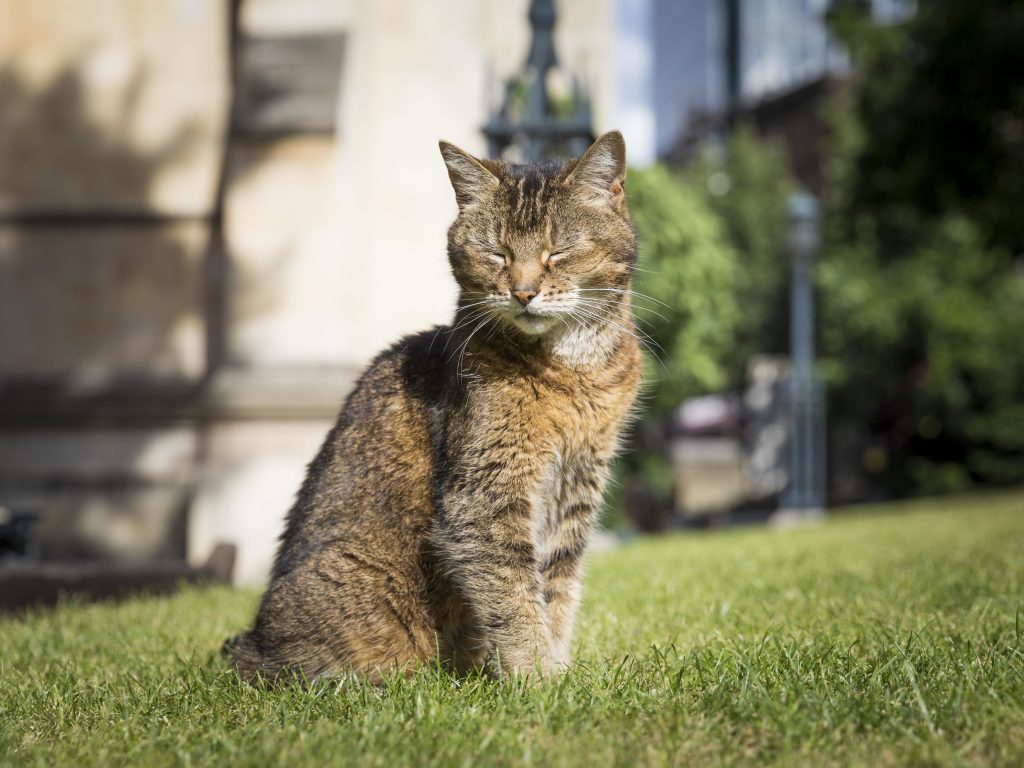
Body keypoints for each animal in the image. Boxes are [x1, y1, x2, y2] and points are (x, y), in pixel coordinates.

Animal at [227, 132, 638, 684]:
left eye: (559, 251)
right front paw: (537, 678)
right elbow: (514, 597)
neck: (575, 371)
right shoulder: (483, 495)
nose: (523, 292)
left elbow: (556, 591)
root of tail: (254, 644)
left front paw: (558, 670)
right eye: (496, 253)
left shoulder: (577, 488)